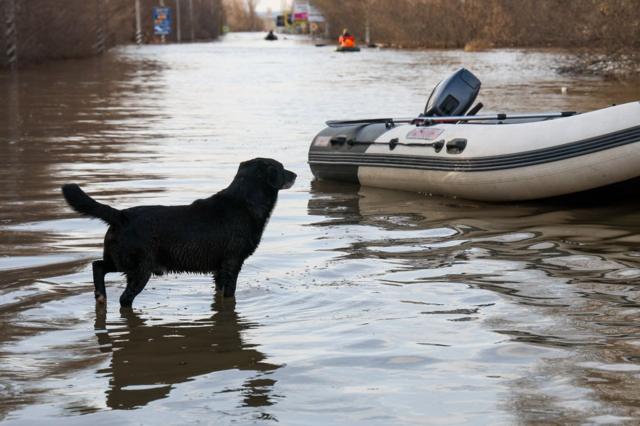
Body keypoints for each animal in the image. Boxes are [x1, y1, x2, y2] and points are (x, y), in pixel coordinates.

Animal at [62, 157, 298, 306]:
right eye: (281, 168)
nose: (296, 174)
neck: (244, 202)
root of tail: (121, 215)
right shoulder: (232, 263)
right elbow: (229, 295)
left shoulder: (219, 269)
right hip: (140, 268)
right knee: (123, 298)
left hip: (120, 259)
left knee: (98, 265)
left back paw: (100, 297)